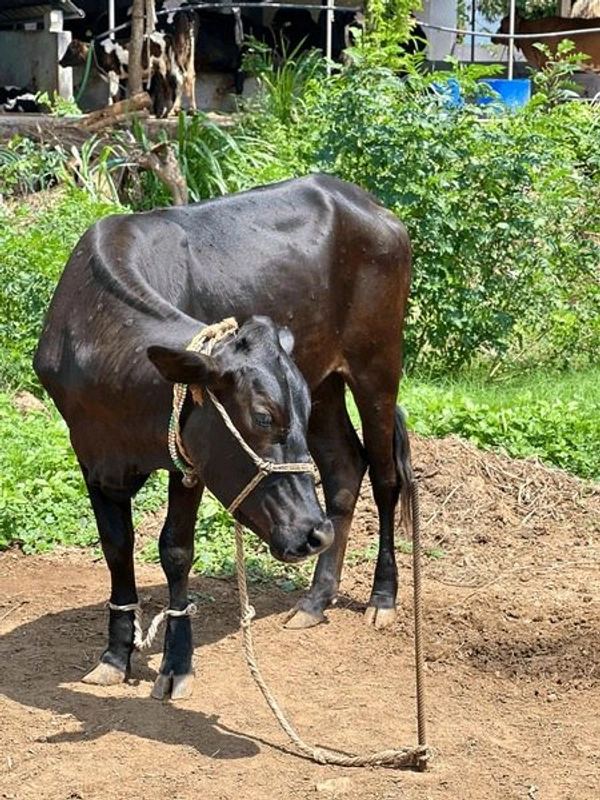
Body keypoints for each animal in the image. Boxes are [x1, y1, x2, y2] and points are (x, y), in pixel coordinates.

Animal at [33, 174, 413, 700]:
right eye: (263, 416)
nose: (312, 533)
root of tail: (365, 202)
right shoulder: (90, 455)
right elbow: (116, 548)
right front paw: (114, 656)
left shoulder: (187, 460)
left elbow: (175, 549)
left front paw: (176, 665)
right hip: (325, 381)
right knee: (343, 465)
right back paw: (315, 600)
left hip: (377, 361)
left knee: (384, 476)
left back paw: (383, 598)